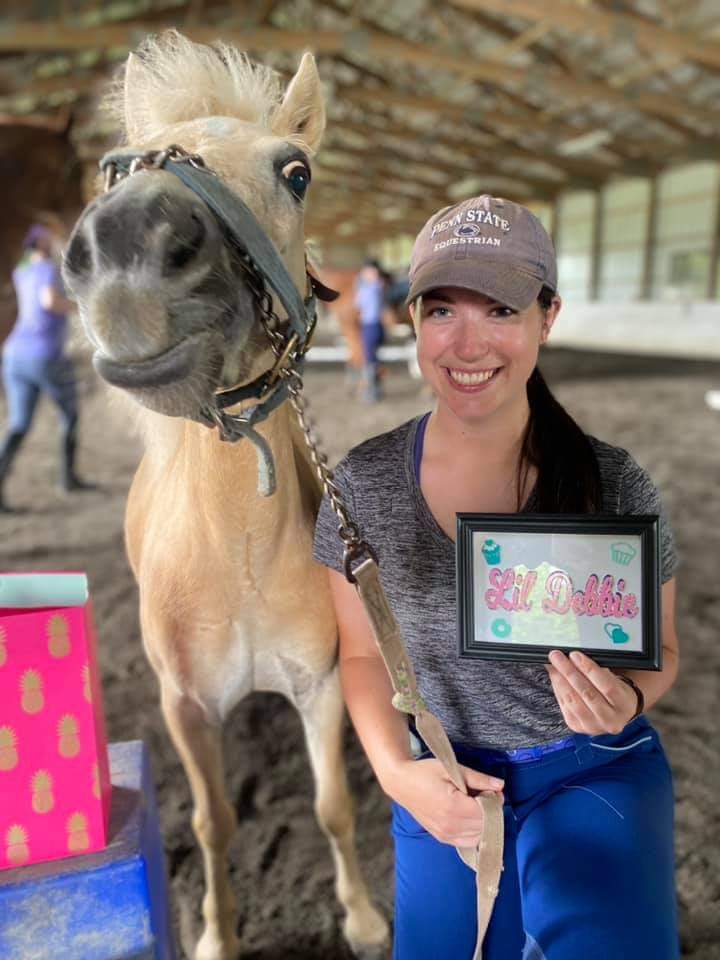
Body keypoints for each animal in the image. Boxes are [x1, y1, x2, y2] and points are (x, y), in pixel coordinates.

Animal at [62, 30, 388, 960]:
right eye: (116, 166)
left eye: (297, 172)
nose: (130, 244)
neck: (236, 556)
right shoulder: (185, 707)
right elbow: (211, 823)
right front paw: (216, 934)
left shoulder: (319, 686)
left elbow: (333, 806)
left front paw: (362, 918)